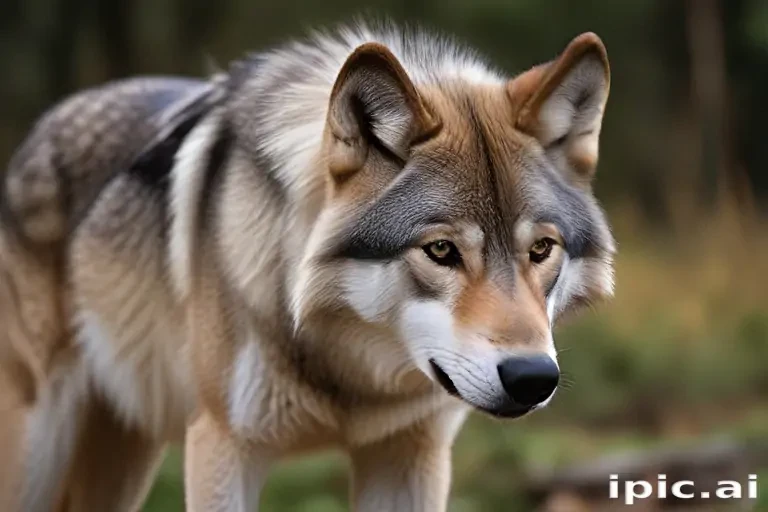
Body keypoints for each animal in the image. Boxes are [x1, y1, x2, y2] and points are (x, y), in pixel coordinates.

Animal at [0, 21, 615, 511]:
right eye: (441, 250)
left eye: (541, 250)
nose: (533, 377)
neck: (350, 373)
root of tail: (43, 126)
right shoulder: (222, 448)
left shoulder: (409, 453)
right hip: (41, 452)